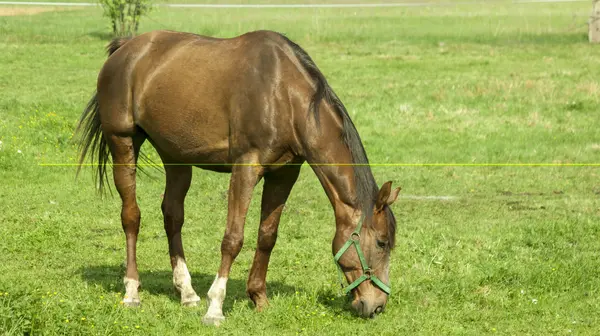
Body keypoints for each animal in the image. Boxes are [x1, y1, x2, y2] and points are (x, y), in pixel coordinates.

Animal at [77, 30, 400, 324]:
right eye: (382, 242)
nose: (376, 306)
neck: (284, 94)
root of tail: (126, 48)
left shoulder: (284, 174)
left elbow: (267, 236)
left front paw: (259, 298)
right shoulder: (246, 168)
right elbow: (233, 238)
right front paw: (215, 307)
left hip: (175, 156)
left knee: (172, 216)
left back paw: (187, 292)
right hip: (123, 143)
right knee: (131, 216)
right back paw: (132, 291)